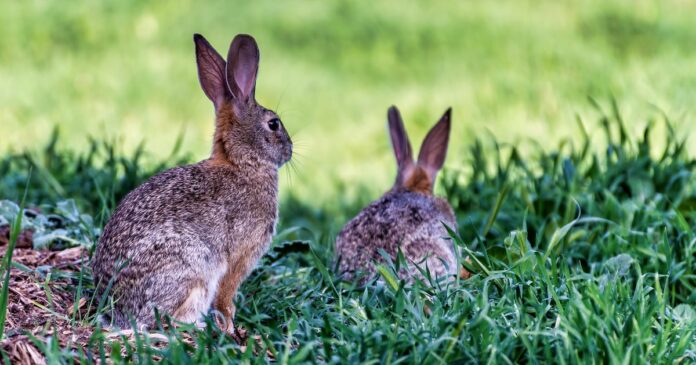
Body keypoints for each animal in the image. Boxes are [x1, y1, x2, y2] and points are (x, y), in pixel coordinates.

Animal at [91, 34, 292, 332]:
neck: (242, 163)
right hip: (193, 267)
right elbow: (226, 296)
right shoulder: (238, 257)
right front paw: (229, 326)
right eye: (274, 124)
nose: (290, 150)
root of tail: (118, 312)